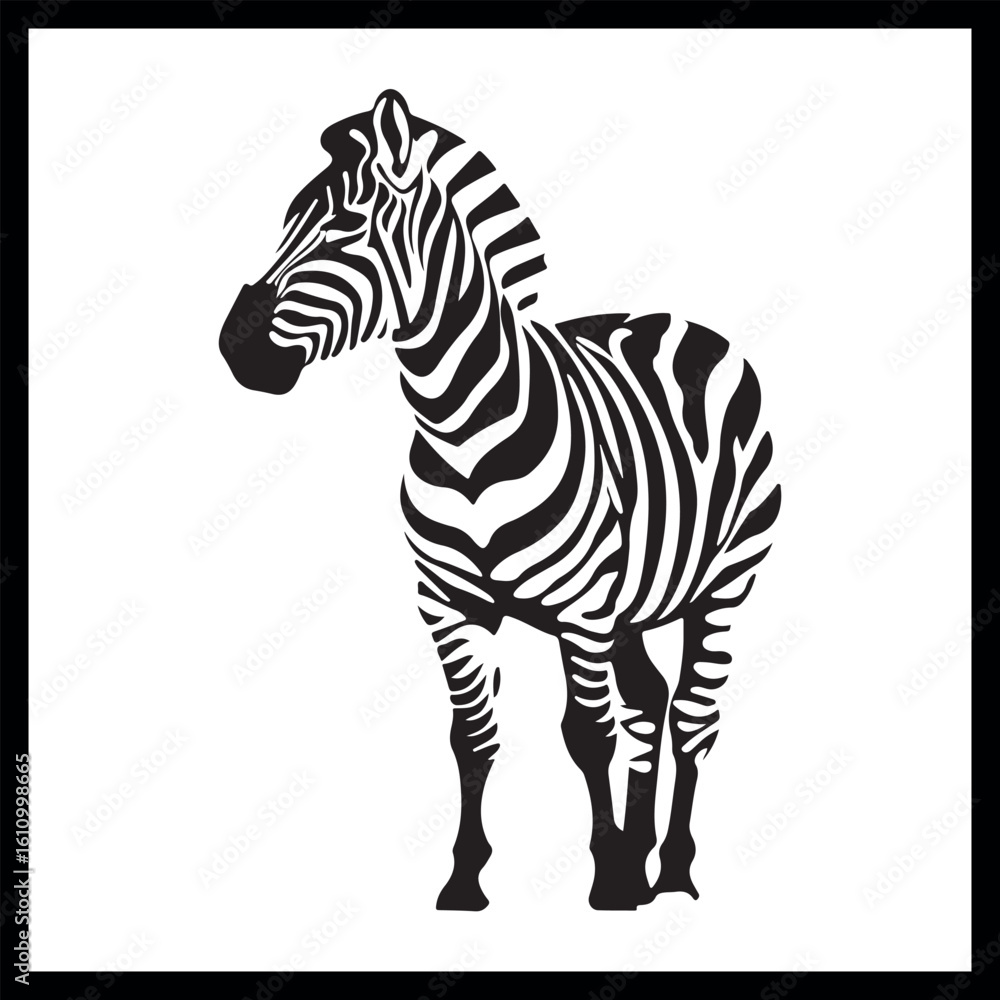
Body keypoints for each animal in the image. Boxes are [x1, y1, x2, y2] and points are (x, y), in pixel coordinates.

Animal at [219, 91, 781, 910]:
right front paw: (466, 878)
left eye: (346, 225)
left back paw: (672, 871)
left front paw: (607, 879)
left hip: (723, 585)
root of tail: (676, 320)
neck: (462, 433)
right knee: (648, 703)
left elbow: (588, 734)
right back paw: (646, 863)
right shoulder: (451, 606)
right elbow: (471, 736)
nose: (236, 348)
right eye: (286, 219)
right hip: (631, 605)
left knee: (690, 716)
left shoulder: (581, 610)